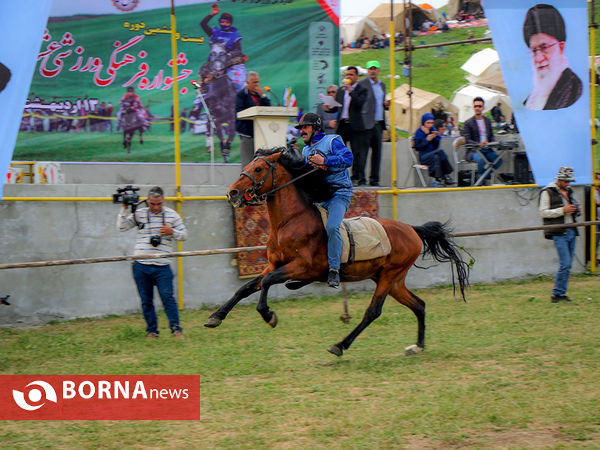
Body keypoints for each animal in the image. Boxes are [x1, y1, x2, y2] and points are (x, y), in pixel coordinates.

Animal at [204, 149, 472, 356]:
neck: (289, 222)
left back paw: (340, 345)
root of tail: (412, 229)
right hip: (393, 280)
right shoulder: (274, 264)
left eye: (258, 169)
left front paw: (268, 314)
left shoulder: (301, 267)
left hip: (389, 276)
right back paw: (417, 346)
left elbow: (267, 282)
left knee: (373, 312)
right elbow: (246, 287)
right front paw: (216, 316)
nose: (232, 193)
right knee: (419, 305)